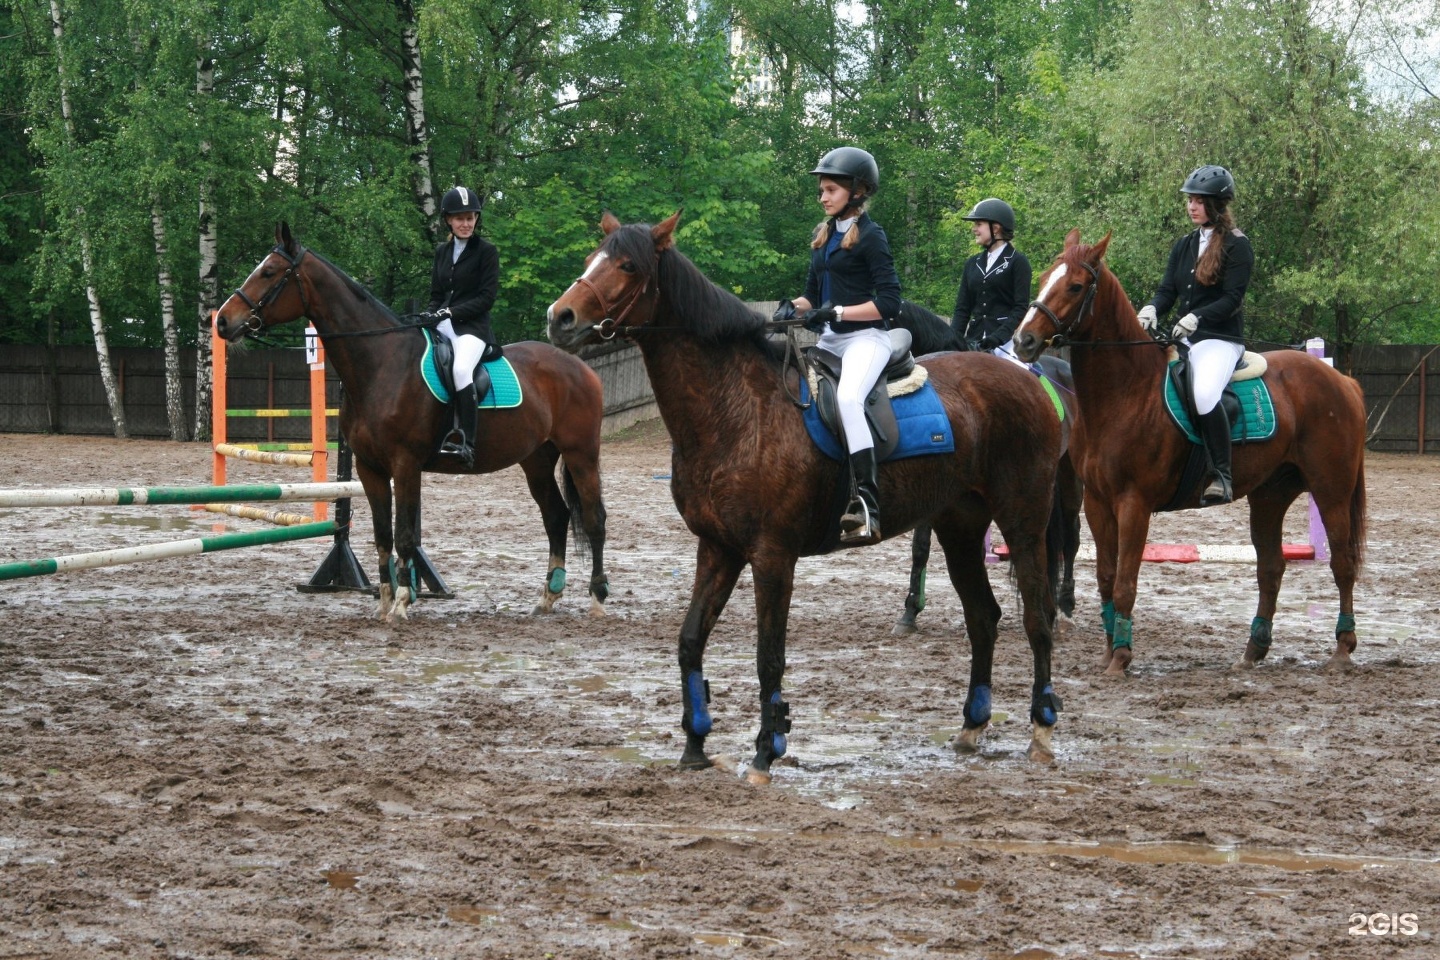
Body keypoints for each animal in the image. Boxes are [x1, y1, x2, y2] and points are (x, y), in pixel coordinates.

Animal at [213, 223, 607, 624]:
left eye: (269, 272)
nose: (222, 321)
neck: (382, 364)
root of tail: (580, 367)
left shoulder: (405, 464)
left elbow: (404, 535)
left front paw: (403, 600)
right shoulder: (369, 468)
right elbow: (383, 536)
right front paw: (384, 602)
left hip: (580, 454)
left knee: (593, 519)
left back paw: (597, 598)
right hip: (536, 460)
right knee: (556, 516)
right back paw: (548, 596)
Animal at [1013, 230, 1359, 676]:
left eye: (1074, 286)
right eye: (1042, 279)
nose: (1024, 341)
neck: (1125, 392)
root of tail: (1340, 380)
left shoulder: (1134, 504)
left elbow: (1125, 583)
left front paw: (1121, 657)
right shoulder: (1098, 503)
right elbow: (1106, 577)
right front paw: (1108, 651)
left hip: (1331, 491)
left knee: (1342, 564)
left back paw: (1342, 650)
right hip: (1270, 495)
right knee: (1271, 568)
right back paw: (1253, 650)